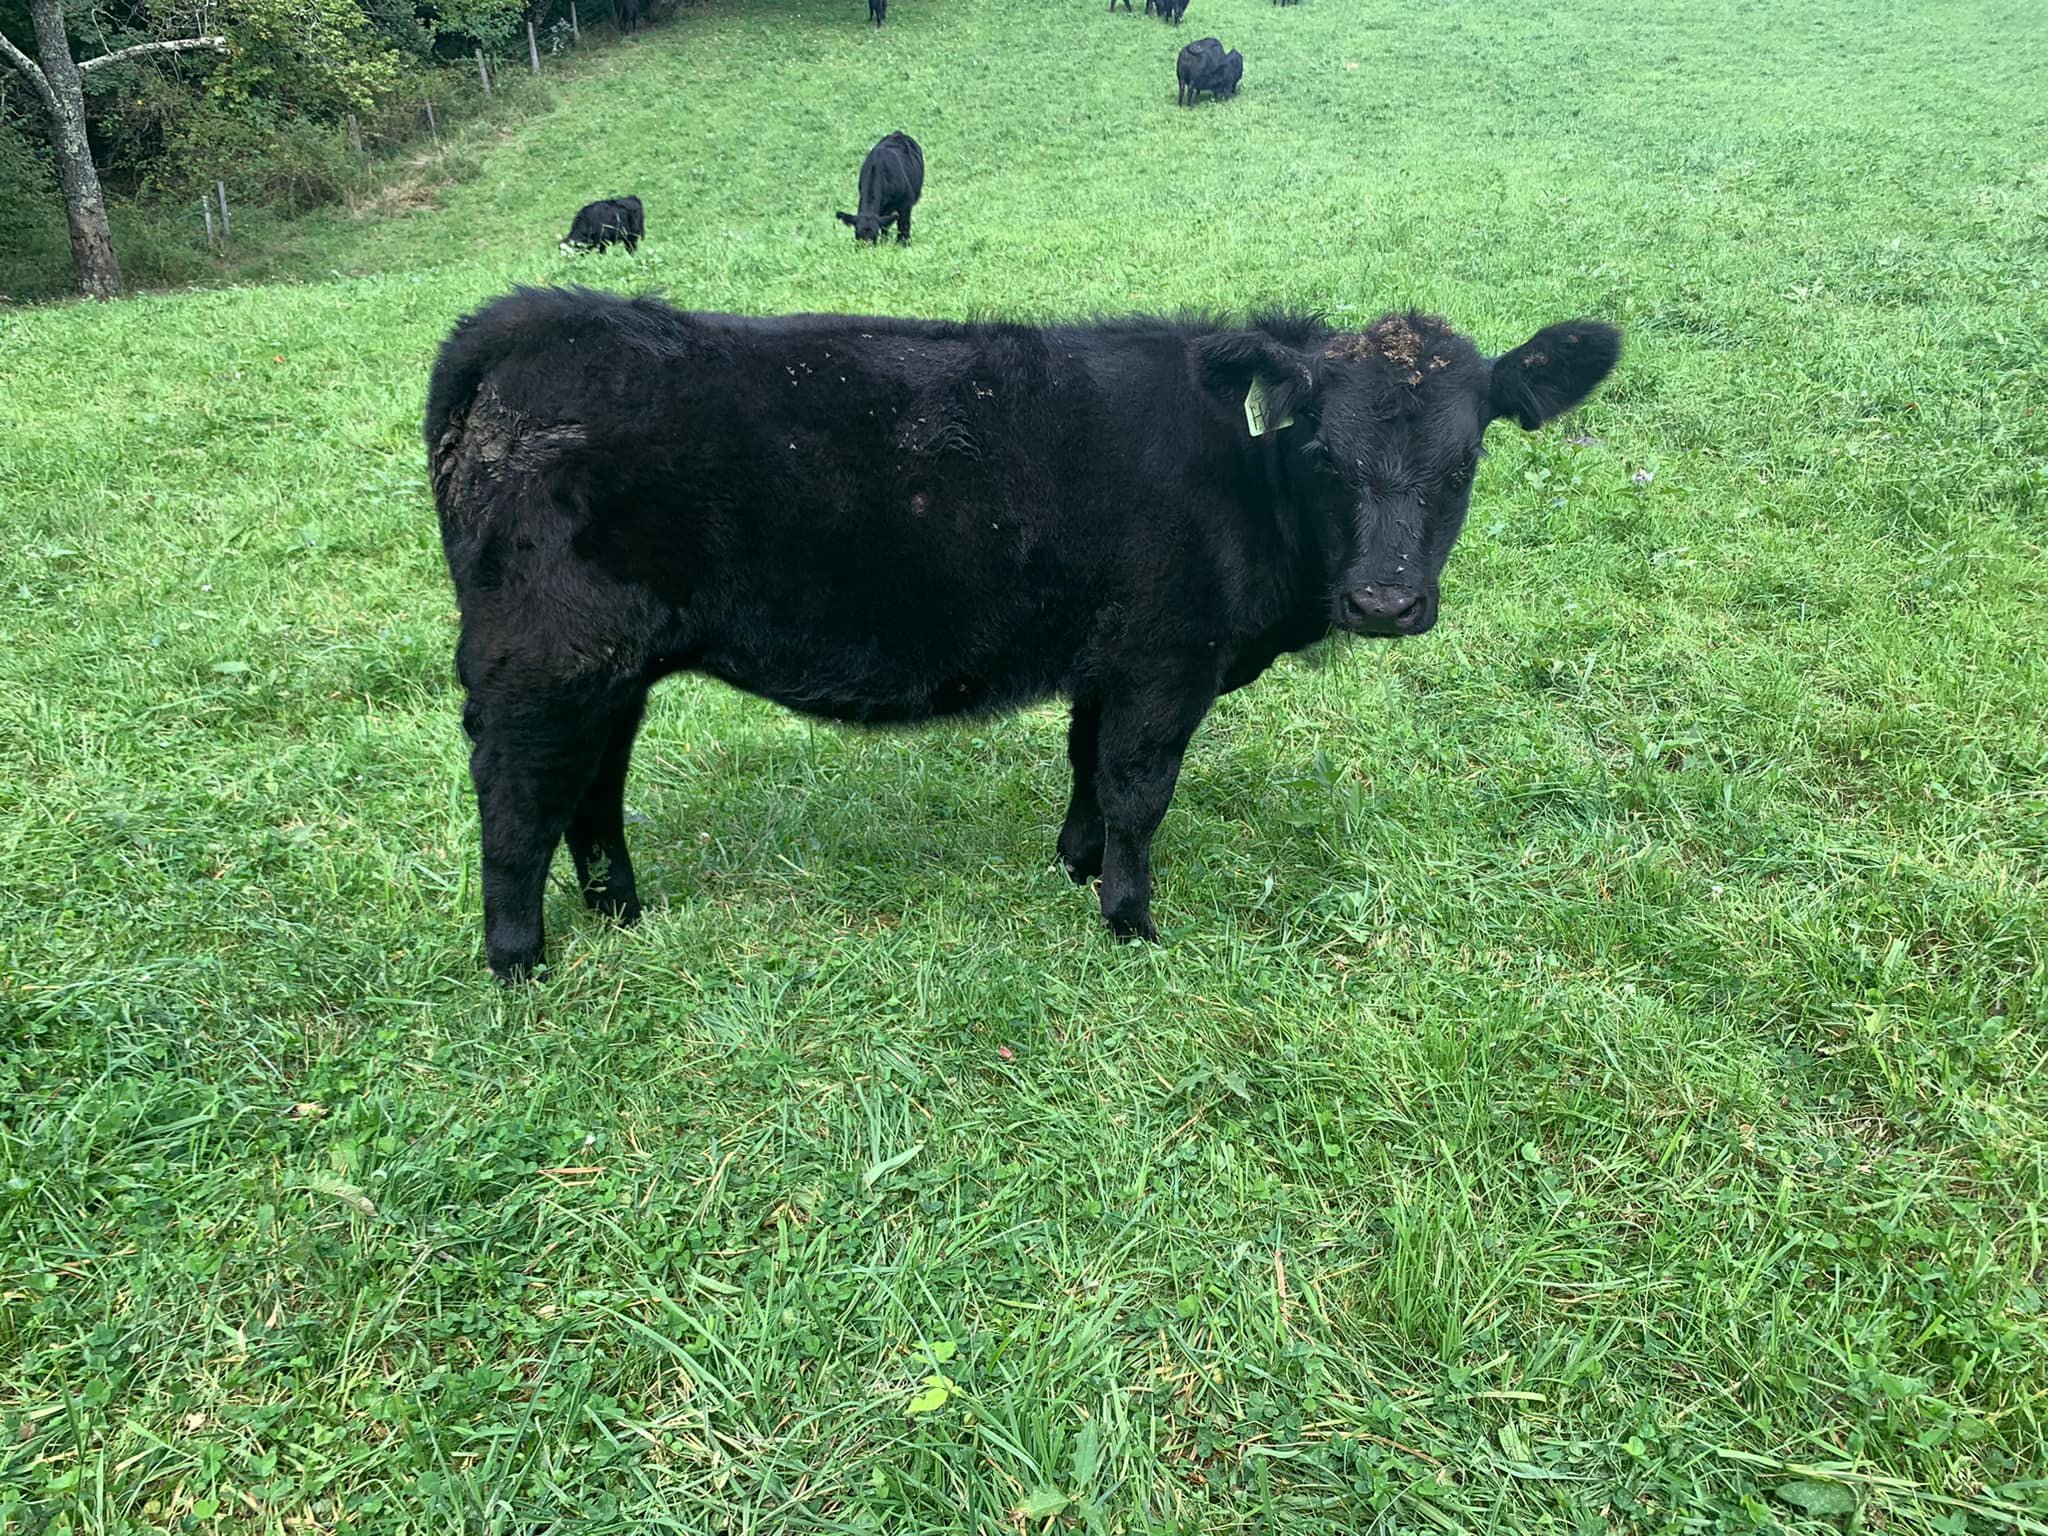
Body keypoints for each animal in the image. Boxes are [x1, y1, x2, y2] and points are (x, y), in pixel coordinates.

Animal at [425, 288, 1622, 980]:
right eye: (1321, 450)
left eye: (1465, 459)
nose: (1382, 602)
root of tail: (542, 315)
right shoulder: (1165, 660)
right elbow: (1140, 788)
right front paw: (1131, 923)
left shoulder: (1110, 657)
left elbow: (1088, 766)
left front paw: (1073, 867)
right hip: (543, 659)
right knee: (517, 798)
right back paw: (519, 960)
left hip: (612, 668)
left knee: (595, 786)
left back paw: (621, 911)